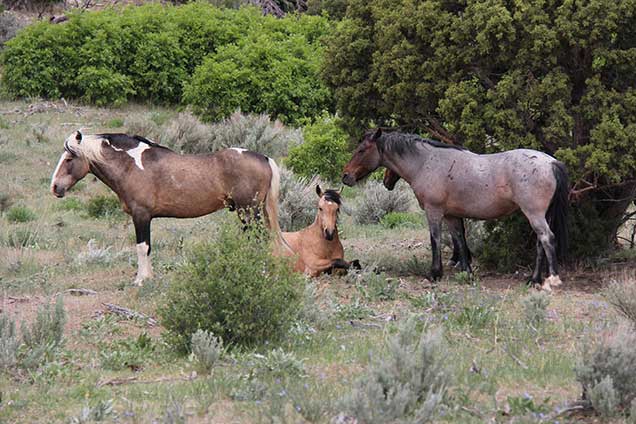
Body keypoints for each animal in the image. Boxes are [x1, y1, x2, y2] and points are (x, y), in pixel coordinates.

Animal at [51, 131, 284, 286]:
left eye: (69, 158)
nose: (55, 187)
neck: (131, 166)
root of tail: (263, 158)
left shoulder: (141, 216)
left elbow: (142, 247)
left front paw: (141, 280)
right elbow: (148, 248)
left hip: (249, 211)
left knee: (260, 239)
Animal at [346, 129, 568, 292]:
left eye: (362, 150)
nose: (345, 176)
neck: (426, 163)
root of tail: (551, 162)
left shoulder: (433, 211)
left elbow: (435, 239)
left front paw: (435, 273)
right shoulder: (452, 215)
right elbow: (460, 240)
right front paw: (467, 272)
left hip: (534, 214)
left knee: (547, 238)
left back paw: (552, 280)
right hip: (542, 215)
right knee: (540, 243)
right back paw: (534, 279)